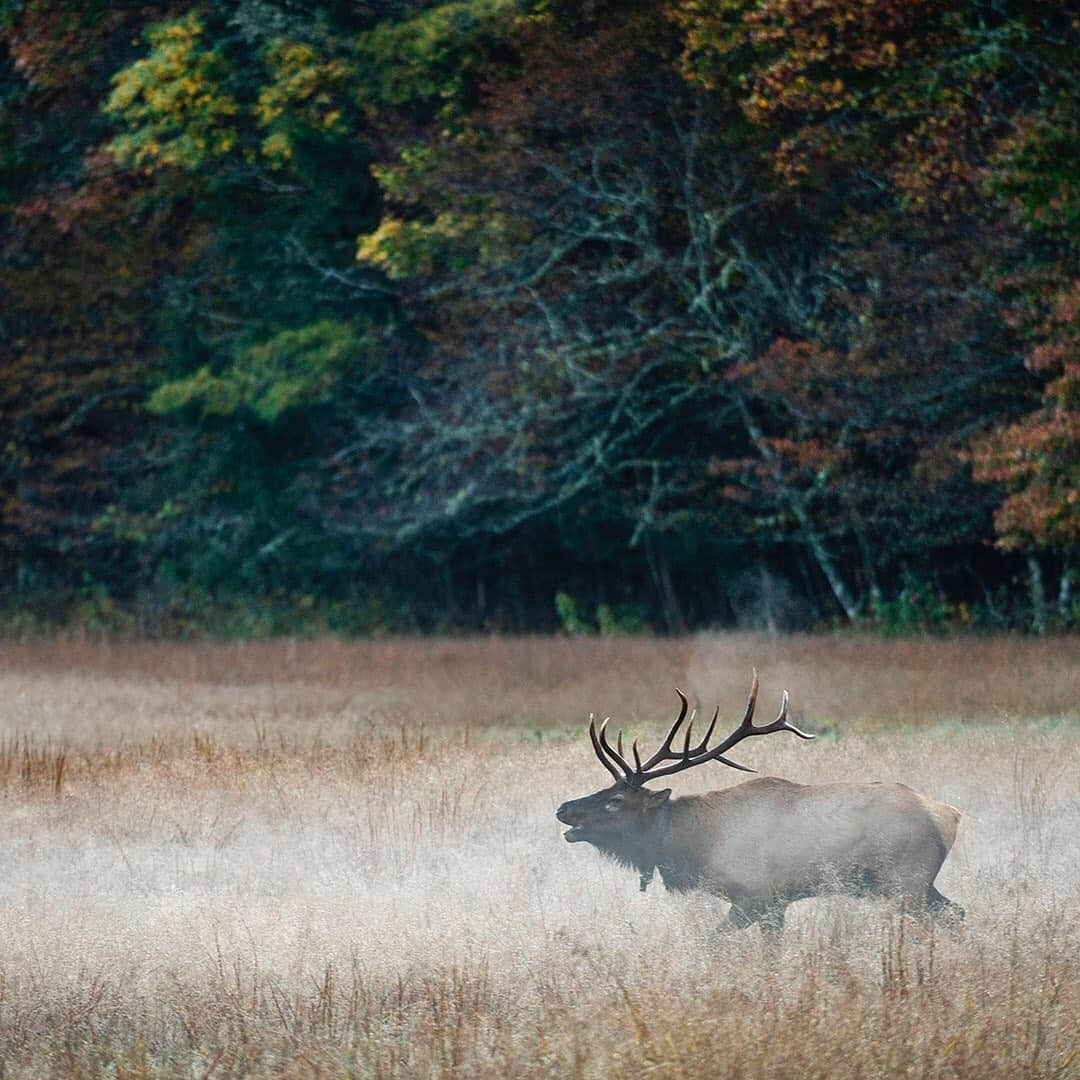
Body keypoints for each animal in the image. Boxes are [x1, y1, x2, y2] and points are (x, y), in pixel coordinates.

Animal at [557, 673, 963, 946]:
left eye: (615, 802)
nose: (563, 808)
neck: (698, 845)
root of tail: (949, 816)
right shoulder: (774, 904)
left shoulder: (758, 898)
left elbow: (715, 945)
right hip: (917, 884)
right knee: (957, 914)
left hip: (906, 880)